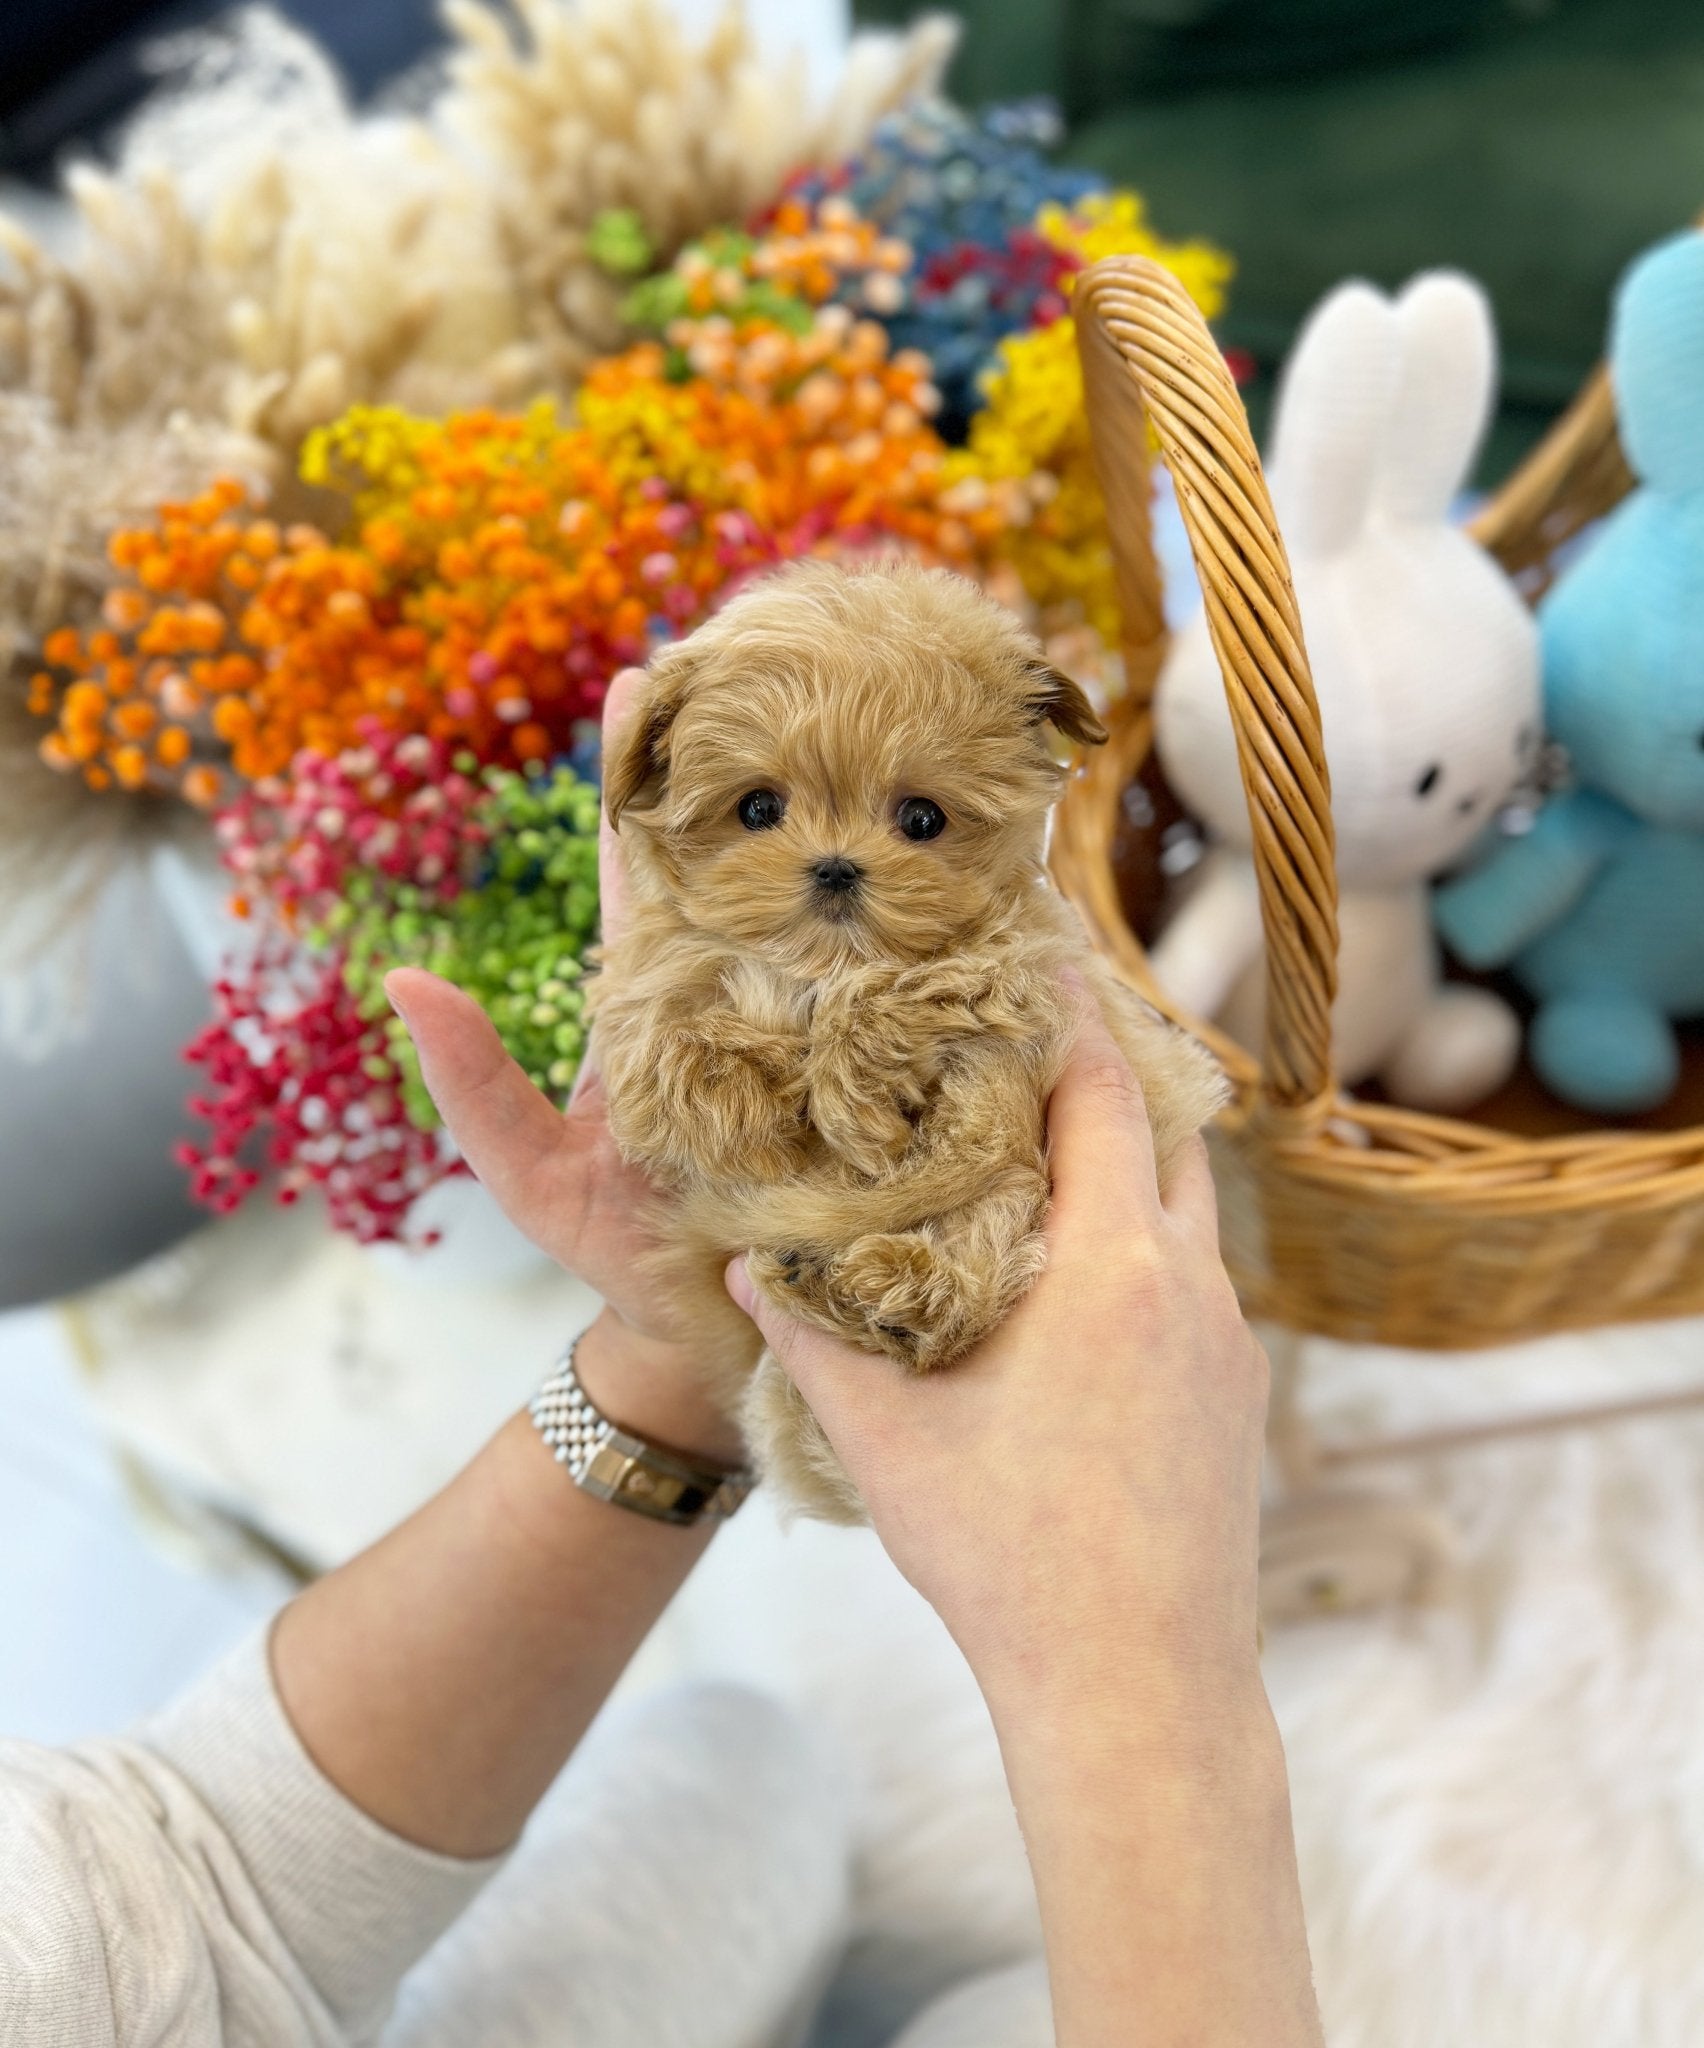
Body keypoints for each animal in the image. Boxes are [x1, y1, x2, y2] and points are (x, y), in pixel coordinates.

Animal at [589, 561, 1228, 1523]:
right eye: (758, 808)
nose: (835, 868)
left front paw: (850, 1101)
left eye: (922, 819)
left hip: (1014, 1194)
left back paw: (898, 1296)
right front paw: (751, 1112)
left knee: (986, 1239)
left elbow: (905, 991)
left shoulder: (1018, 967)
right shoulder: (654, 976)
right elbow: (660, 1047)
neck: (818, 967)